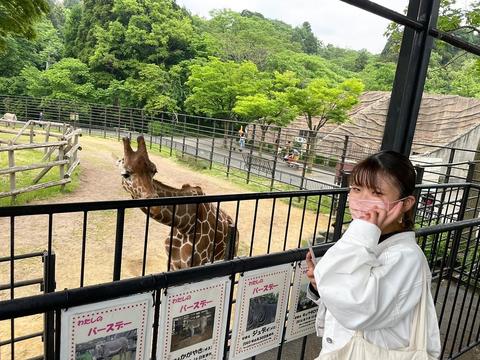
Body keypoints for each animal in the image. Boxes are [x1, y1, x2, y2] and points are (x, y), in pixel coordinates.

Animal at [118, 136, 238, 270]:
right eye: (125, 174)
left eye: (154, 171)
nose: (155, 206)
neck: (184, 226)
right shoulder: (172, 263)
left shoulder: (196, 263)